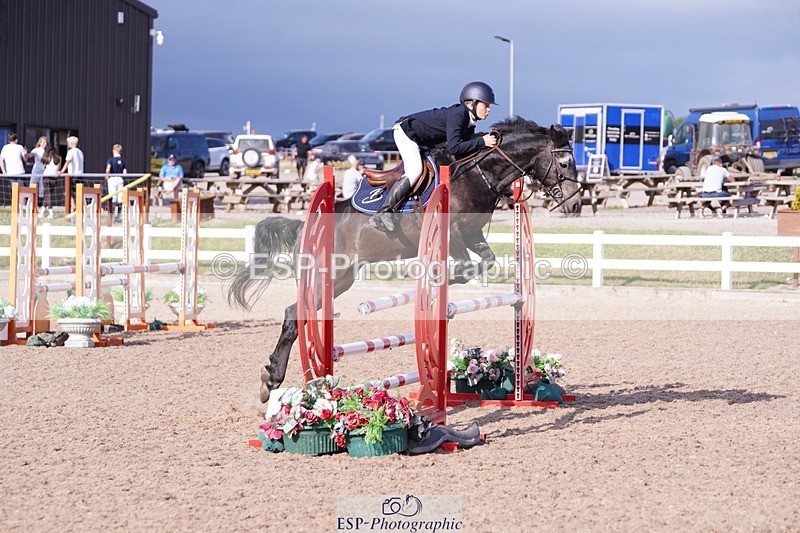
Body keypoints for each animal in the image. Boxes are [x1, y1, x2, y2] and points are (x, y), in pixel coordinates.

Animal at [228, 117, 582, 403]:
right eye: (565, 163)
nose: (575, 204)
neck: (477, 175)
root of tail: (306, 225)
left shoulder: (472, 235)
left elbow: (485, 263)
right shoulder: (452, 233)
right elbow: (466, 267)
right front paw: (436, 288)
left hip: (341, 278)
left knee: (299, 314)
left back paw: (276, 380)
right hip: (327, 272)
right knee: (294, 315)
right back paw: (272, 379)